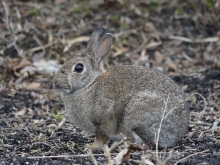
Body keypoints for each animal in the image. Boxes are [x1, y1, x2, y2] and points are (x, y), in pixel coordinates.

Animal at [53, 27, 189, 150]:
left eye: (79, 68)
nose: (55, 82)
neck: (88, 84)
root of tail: (178, 132)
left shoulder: (102, 121)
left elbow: (101, 137)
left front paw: (91, 147)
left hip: (136, 114)